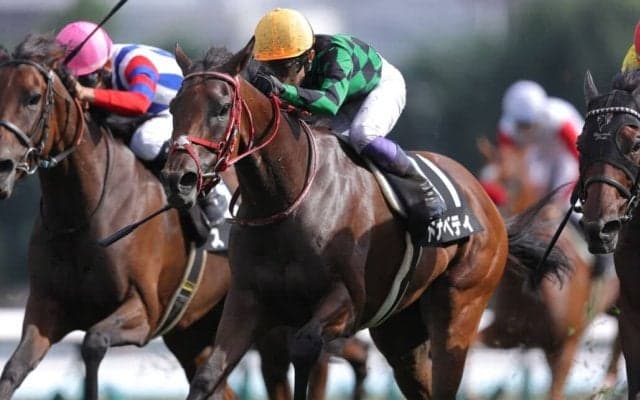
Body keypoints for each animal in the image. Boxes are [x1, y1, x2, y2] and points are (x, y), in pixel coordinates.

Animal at [161, 38, 570, 400]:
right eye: (174, 106)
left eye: (221, 107)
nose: (178, 178)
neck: (285, 197)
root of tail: (489, 206)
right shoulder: (248, 301)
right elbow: (208, 376)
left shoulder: (349, 302)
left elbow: (304, 349)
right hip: (400, 330)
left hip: (461, 308)